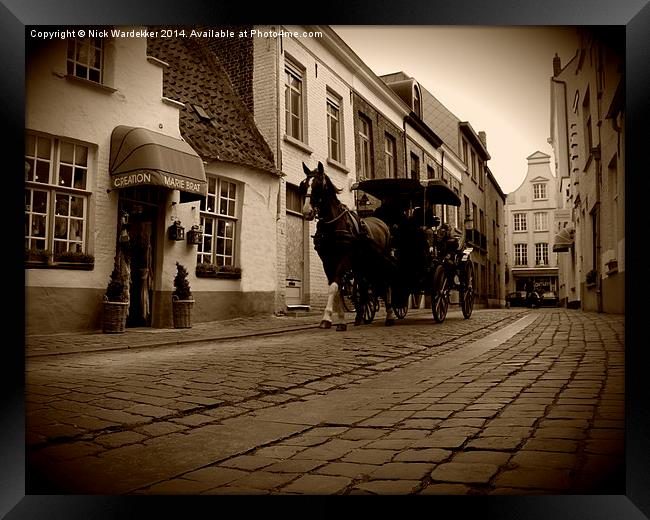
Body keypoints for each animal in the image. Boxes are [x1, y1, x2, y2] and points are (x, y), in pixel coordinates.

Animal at [298, 160, 394, 332]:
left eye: (318, 185)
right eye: (303, 185)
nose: (307, 211)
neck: (332, 224)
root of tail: (383, 223)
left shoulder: (344, 258)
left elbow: (334, 287)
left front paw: (327, 318)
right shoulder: (327, 261)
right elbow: (335, 288)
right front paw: (339, 320)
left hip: (382, 261)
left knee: (385, 283)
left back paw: (389, 316)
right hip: (362, 265)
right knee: (363, 287)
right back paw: (359, 317)